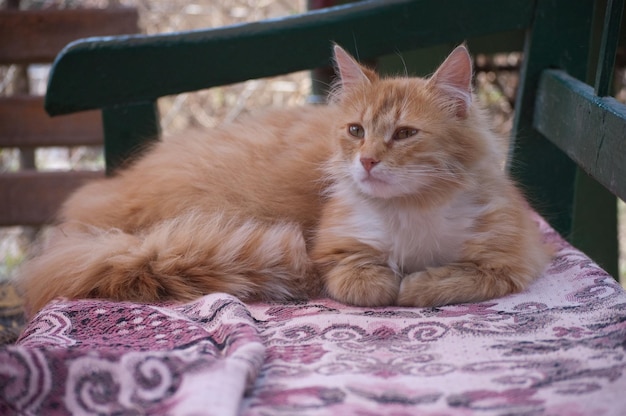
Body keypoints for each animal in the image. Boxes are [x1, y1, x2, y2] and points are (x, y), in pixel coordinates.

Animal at [17, 44, 548, 316]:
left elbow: (458, 279)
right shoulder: (332, 251)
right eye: (356, 131)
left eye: (404, 134)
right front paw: (395, 283)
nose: (367, 162)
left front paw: (418, 284)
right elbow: (365, 280)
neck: (411, 212)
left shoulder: (514, 258)